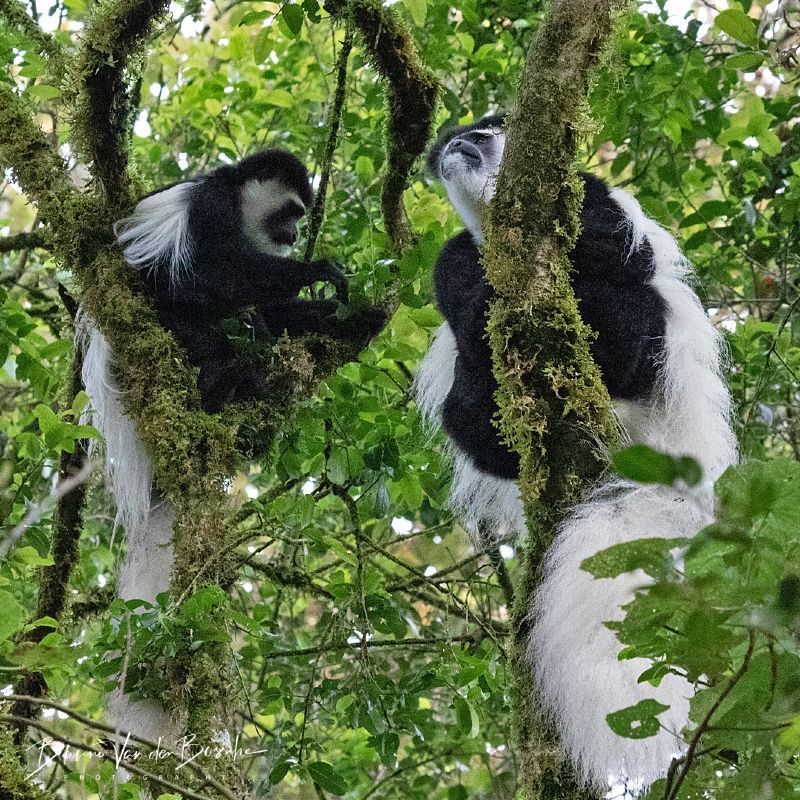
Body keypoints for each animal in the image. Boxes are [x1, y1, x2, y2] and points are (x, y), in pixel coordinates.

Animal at [415, 115, 737, 789]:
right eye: (461, 134)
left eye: (490, 130)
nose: (462, 142)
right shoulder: (455, 253)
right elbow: (455, 278)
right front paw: (476, 293)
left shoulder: (591, 193)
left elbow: (615, 246)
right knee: (467, 399)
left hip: (650, 358)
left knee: (631, 307)